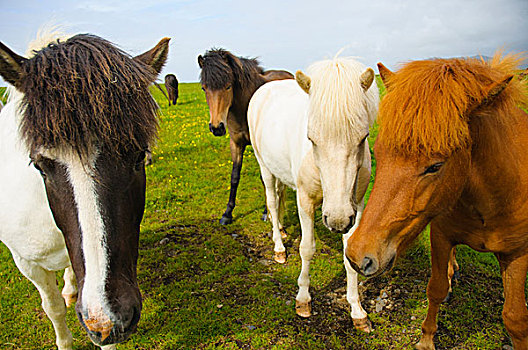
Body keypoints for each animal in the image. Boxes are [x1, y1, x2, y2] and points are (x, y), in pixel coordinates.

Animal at [198, 48, 292, 224]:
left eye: (228, 86)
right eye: (204, 88)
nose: (217, 127)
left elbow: (264, 179)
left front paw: (266, 212)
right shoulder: (235, 144)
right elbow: (234, 177)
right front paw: (227, 213)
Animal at [249, 56, 380, 330]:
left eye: (363, 137)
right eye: (311, 138)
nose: (338, 220)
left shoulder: (356, 206)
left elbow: (350, 255)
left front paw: (357, 310)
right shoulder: (305, 201)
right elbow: (307, 249)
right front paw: (303, 300)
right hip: (263, 165)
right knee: (272, 202)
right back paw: (279, 247)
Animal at [346, 52, 528, 350]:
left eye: (435, 166)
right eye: (377, 152)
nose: (358, 256)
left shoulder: (517, 254)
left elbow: (514, 317)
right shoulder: (441, 235)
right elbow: (436, 288)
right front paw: (426, 339)